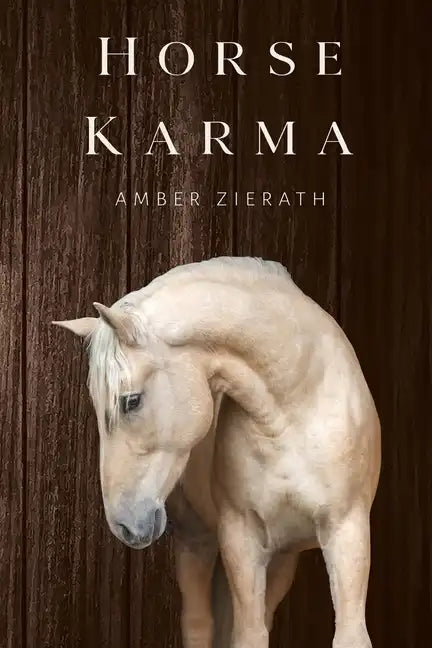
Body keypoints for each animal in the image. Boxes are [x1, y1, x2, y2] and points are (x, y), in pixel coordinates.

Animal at [53, 257, 381, 648]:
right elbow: (247, 635)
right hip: (198, 542)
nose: (125, 525)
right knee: (200, 624)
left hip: (280, 559)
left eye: (131, 401)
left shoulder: (347, 531)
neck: (296, 403)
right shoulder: (241, 537)